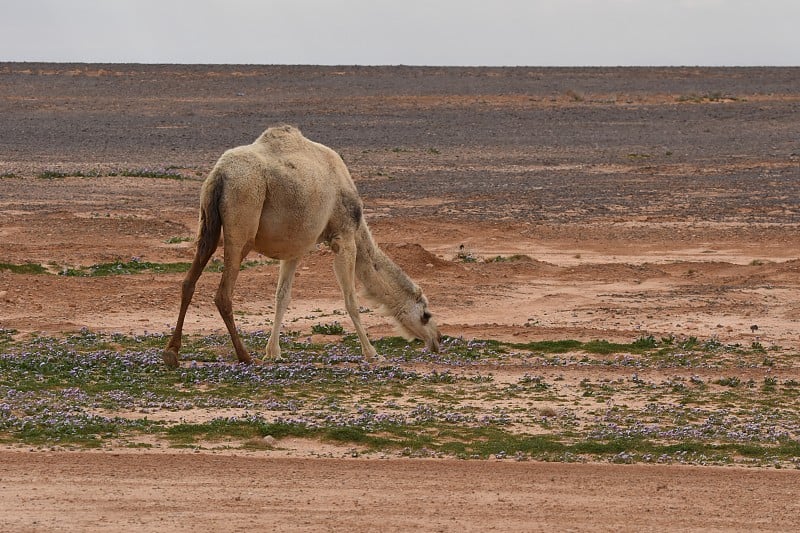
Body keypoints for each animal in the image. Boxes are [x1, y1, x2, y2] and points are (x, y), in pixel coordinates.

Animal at [161, 124, 438, 366]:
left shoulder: (294, 248)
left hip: (208, 223)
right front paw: (372, 353)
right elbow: (350, 299)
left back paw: (172, 353)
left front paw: (273, 352)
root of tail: (220, 175)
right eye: (426, 315)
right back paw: (244, 356)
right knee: (223, 294)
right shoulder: (345, 237)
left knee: (189, 280)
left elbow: (282, 297)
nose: (437, 341)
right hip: (242, 220)